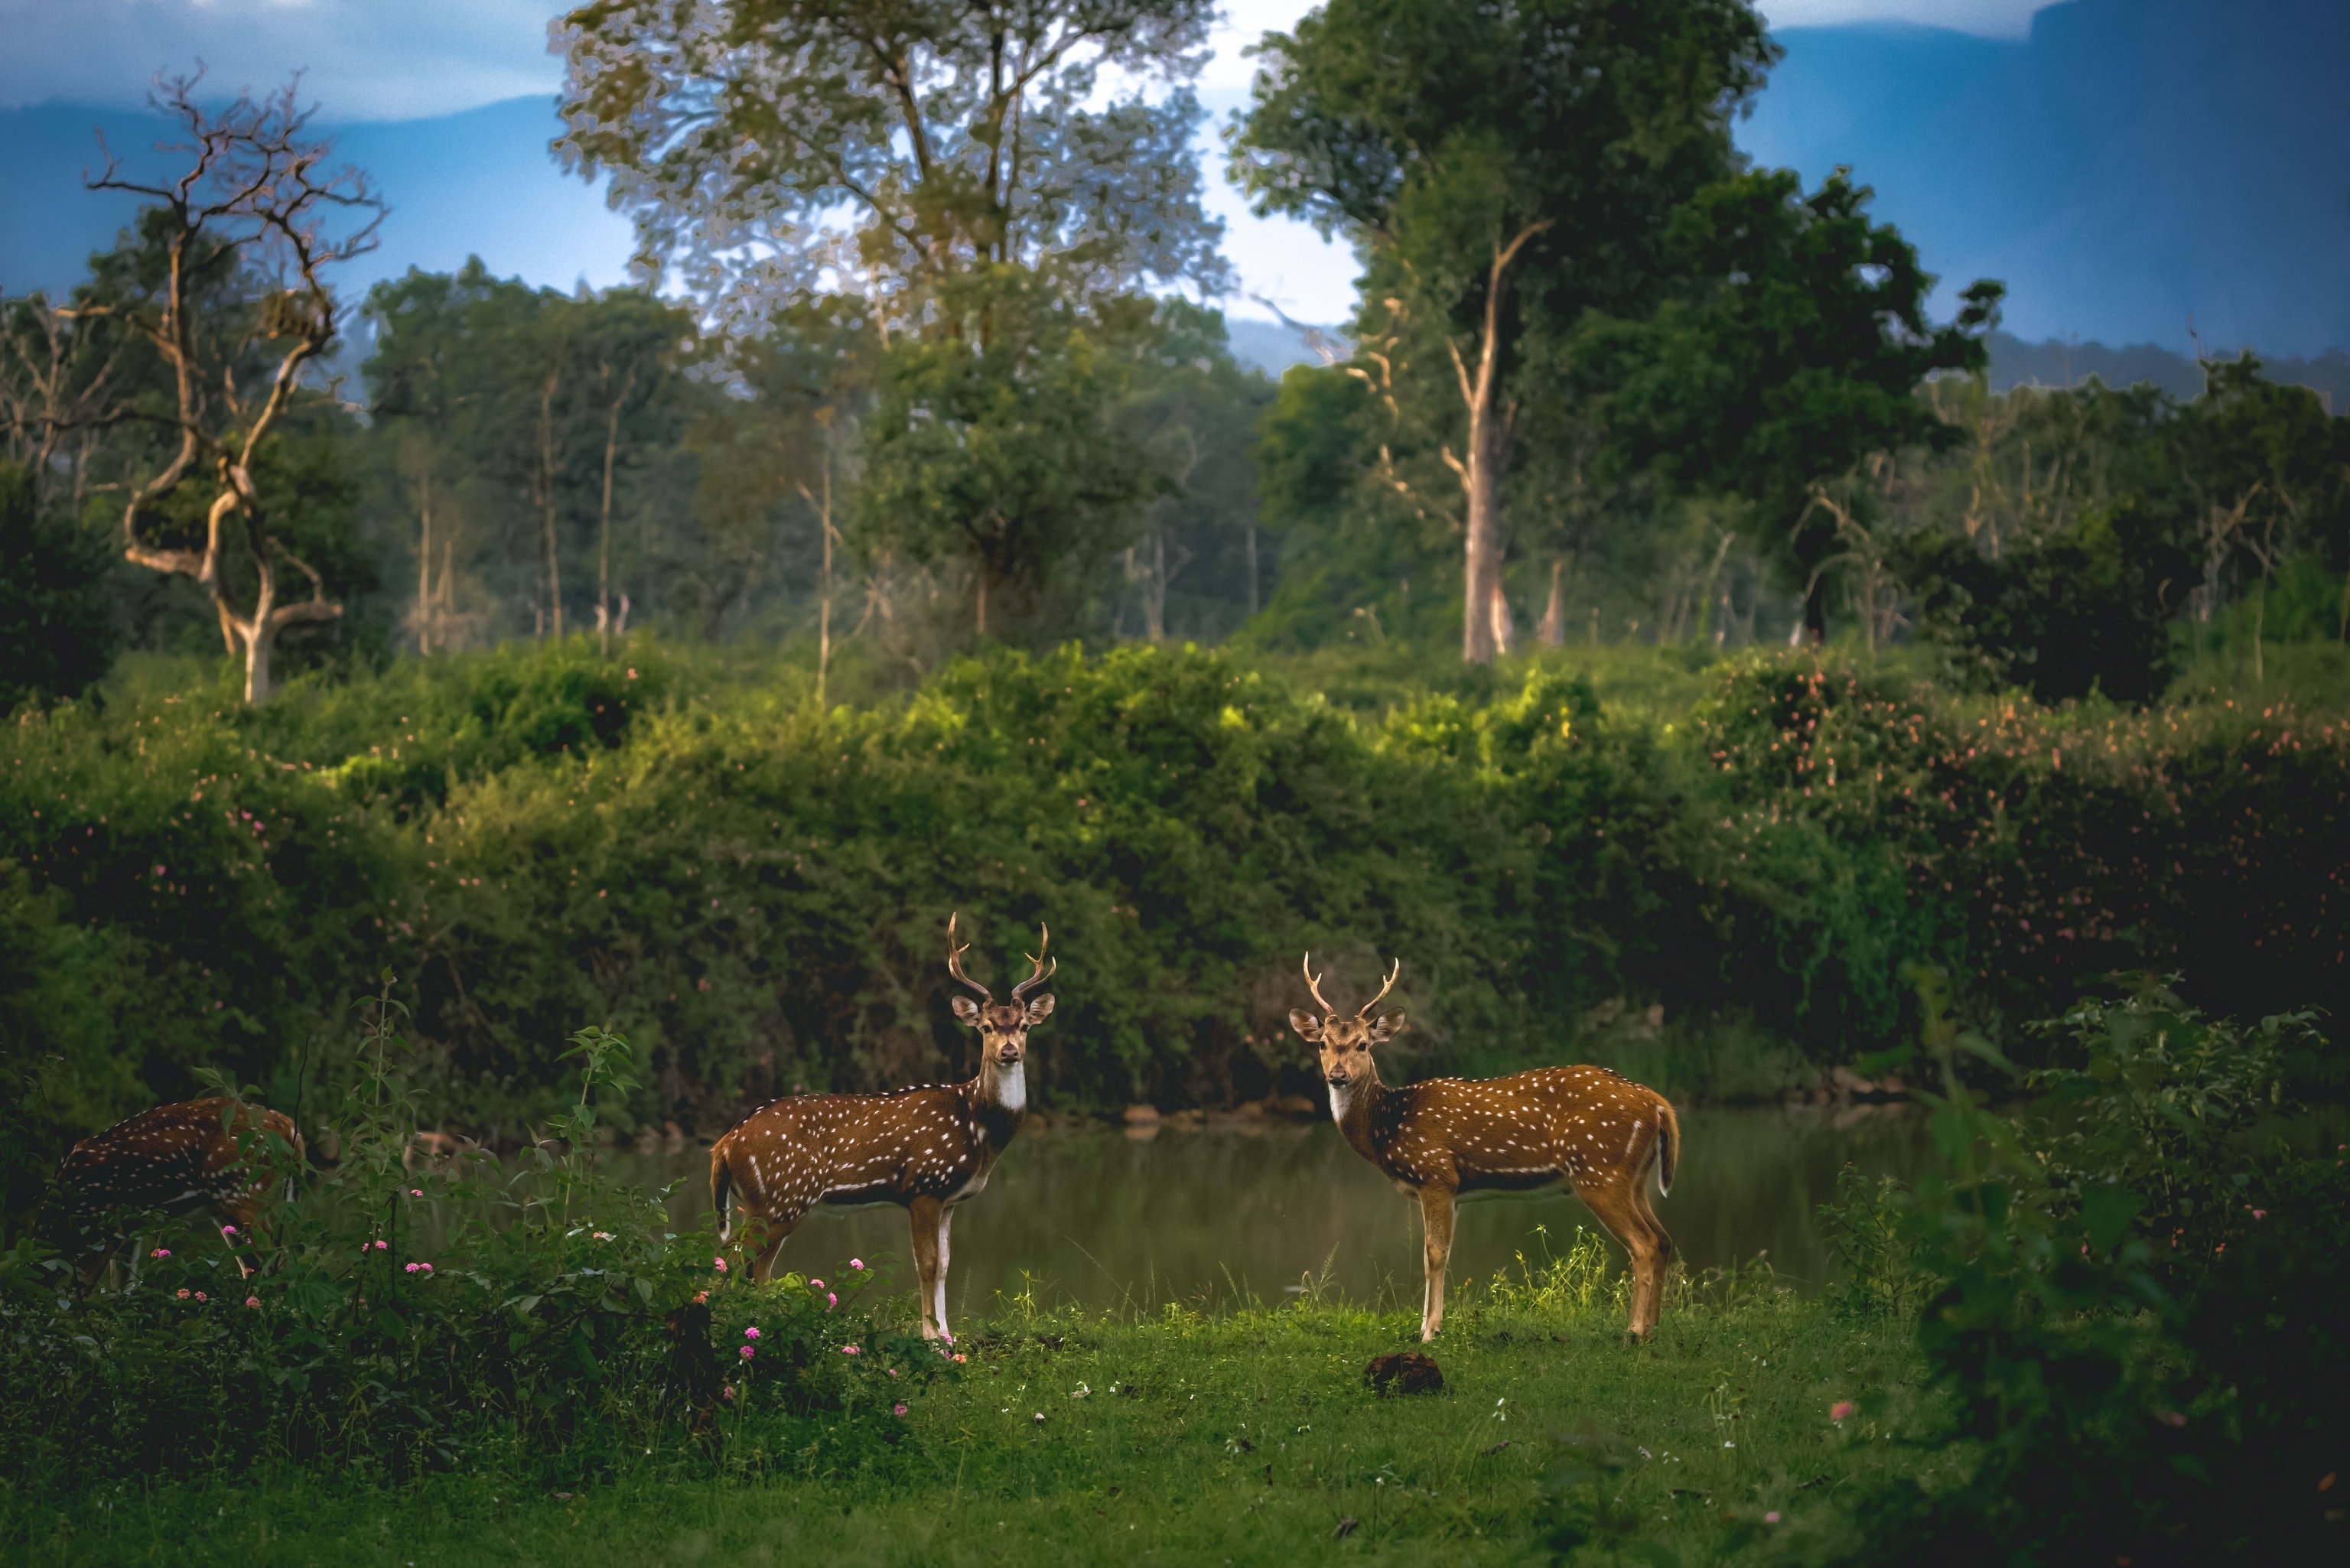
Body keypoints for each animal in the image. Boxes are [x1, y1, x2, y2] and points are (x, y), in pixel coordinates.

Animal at [49, 1096, 307, 1286]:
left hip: (242, 1193)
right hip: (228, 1209)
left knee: (279, 1259)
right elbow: (121, 1288)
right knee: (256, 1266)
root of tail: (292, 1130)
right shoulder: (129, 1227)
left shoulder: (103, 1224)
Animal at [709, 915, 1054, 1341]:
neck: (977, 1128)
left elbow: (945, 1265)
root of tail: (725, 1144)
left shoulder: (950, 1199)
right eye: (987, 1027)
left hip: (763, 1202)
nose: (1010, 1051)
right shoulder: (925, 1186)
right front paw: (930, 1337)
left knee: (750, 1264)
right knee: (738, 1260)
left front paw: (948, 1335)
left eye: (1024, 1026)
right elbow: (926, 1264)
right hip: (781, 1196)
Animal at [1289, 956, 1681, 1340]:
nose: (1337, 1076)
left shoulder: (1436, 1174)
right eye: (1322, 1044)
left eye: (1363, 1044)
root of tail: (1659, 1104)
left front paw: (1430, 1331)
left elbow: (1434, 1254)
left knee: (1644, 1243)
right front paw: (1426, 1324)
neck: (1389, 1125)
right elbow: (1435, 1254)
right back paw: (1654, 1328)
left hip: (1599, 1169)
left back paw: (1635, 1330)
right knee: (1663, 1239)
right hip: (1633, 1177)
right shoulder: (1448, 1191)